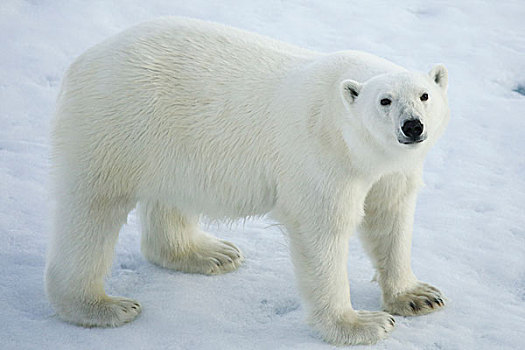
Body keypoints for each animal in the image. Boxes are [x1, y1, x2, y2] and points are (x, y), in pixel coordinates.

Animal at [45, 17, 448, 344]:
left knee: (170, 196)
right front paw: (360, 325)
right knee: (92, 212)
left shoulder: (390, 170)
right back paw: (101, 306)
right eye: (384, 101)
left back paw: (210, 253)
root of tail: (82, 61)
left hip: (170, 144)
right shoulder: (321, 157)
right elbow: (322, 230)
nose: (412, 126)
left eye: (425, 95)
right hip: (114, 126)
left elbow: (390, 217)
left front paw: (419, 296)